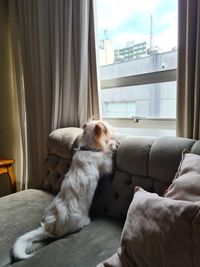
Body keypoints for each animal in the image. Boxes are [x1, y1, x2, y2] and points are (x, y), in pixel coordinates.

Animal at [12, 120, 116, 260]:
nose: (112, 128)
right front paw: (112, 144)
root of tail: (48, 229)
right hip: (82, 221)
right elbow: (107, 157)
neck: (88, 148)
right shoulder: (106, 166)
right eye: (106, 126)